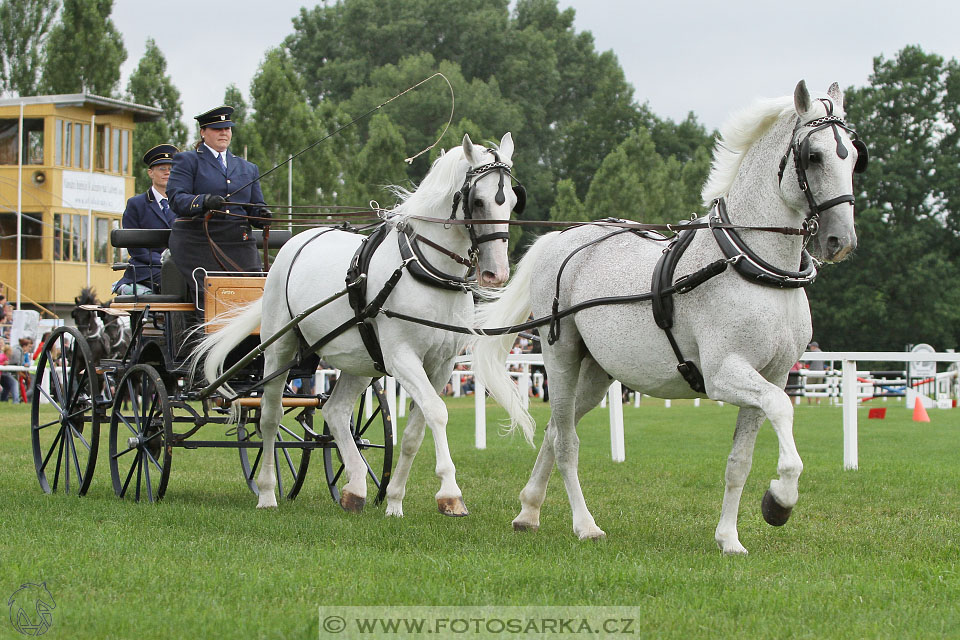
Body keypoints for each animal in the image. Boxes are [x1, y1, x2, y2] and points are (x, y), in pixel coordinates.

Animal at [197, 132, 524, 516]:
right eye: (479, 200)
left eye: (512, 201)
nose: (496, 273)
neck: (424, 269)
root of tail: (295, 241)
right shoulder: (402, 358)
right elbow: (437, 412)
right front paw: (450, 493)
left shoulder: (440, 365)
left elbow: (415, 431)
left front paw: (394, 499)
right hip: (280, 349)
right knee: (269, 416)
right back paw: (266, 492)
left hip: (359, 361)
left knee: (335, 411)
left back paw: (354, 487)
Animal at [470, 82, 864, 552]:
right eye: (814, 156)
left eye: (853, 156)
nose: (841, 240)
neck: (753, 264)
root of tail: (562, 238)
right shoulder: (724, 374)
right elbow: (782, 408)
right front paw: (780, 501)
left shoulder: (774, 372)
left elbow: (740, 461)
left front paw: (729, 538)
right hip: (561, 359)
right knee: (566, 442)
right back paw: (585, 524)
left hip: (597, 374)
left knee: (553, 429)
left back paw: (528, 511)